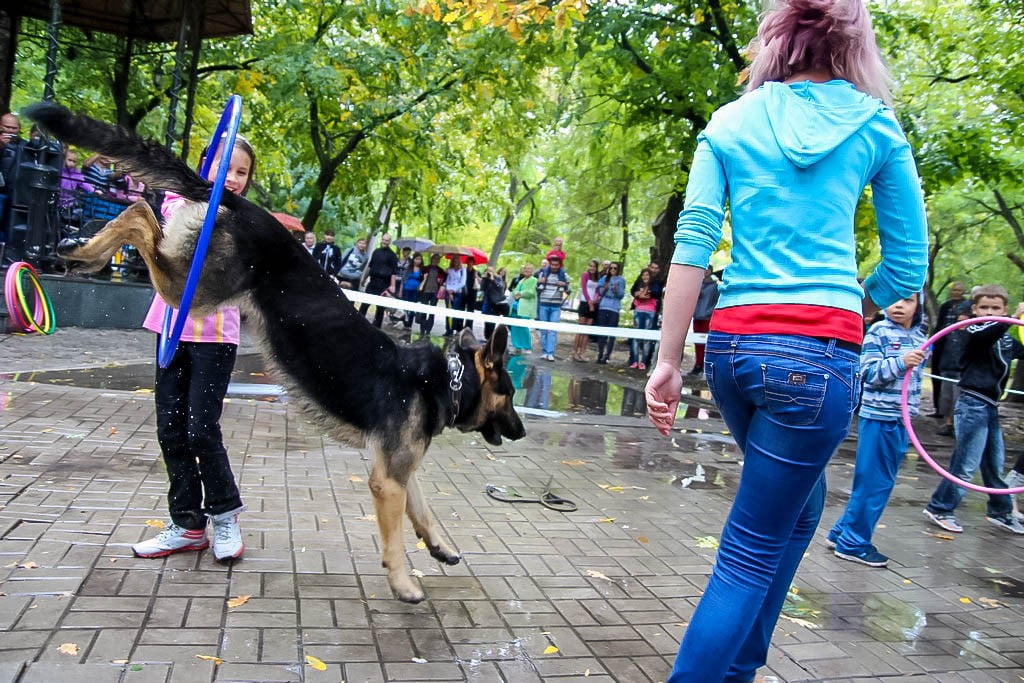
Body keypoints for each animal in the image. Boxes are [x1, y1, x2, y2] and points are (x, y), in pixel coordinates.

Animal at [28, 101, 524, 602]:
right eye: (510, 394)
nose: (522, 432)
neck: (445, 380)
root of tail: (239, 201)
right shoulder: (387, 480)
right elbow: (395, 540)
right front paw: (403, 582)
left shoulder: (399, 471)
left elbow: (422, 511)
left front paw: (440, 547)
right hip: (197, 288)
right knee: (138, 213)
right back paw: (81, 249)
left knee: (143, 216)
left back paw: (78, 247)